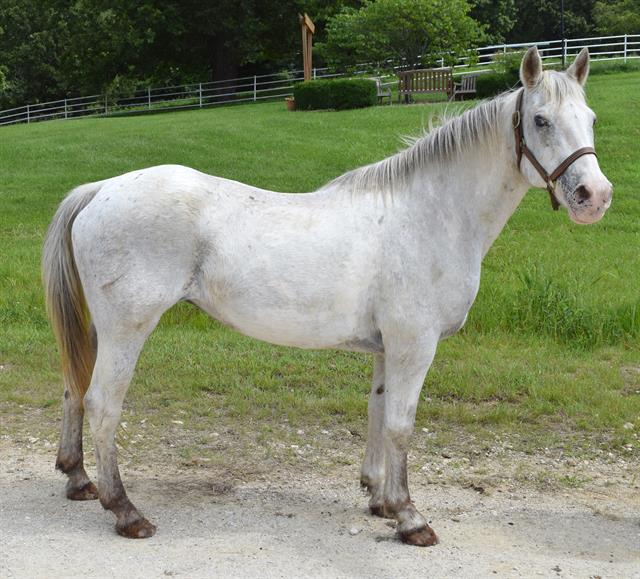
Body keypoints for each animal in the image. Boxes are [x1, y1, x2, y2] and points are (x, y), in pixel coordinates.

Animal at [42, 48, 612, 544]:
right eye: (540, 120)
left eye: (591, 119)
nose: (595, 197)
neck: (429, 213)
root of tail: (102, 188)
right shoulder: (414, 346)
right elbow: (401, 424)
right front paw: (410, 518)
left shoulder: (388, 349)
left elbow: (378, 413)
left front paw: (380, 499)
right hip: (127, 329)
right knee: (103, 403)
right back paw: (125, 510)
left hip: (100, 328)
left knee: (74, 387)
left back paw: (79, 480)